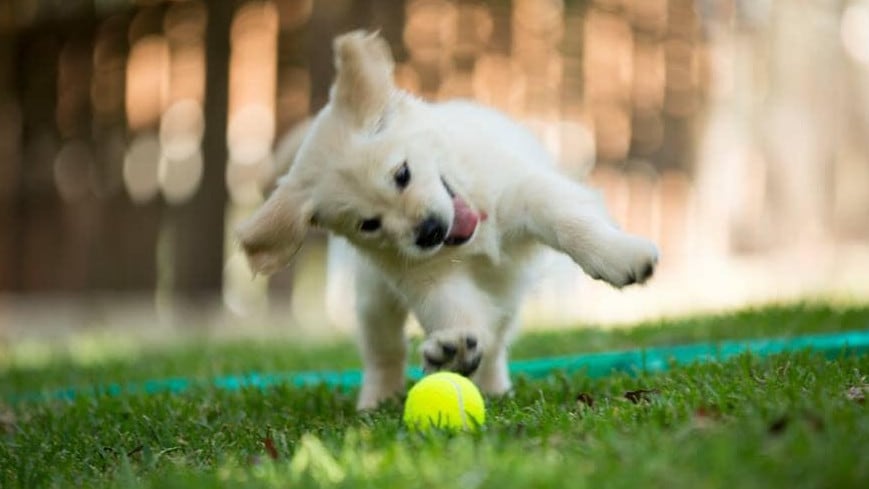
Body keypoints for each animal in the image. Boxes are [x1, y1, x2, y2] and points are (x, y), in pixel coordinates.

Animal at [234, 30, 656, 410]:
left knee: (498, 339)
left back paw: (494, 387)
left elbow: (571, 222)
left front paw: (621, 256)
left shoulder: (528, 191)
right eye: (368, 224)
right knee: (386, 349)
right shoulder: (426, 276)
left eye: (402, 174)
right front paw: (453, 349)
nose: (429, 233)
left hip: (507, 295)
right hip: (374, 298)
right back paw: (377, 399)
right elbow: (455, 310)